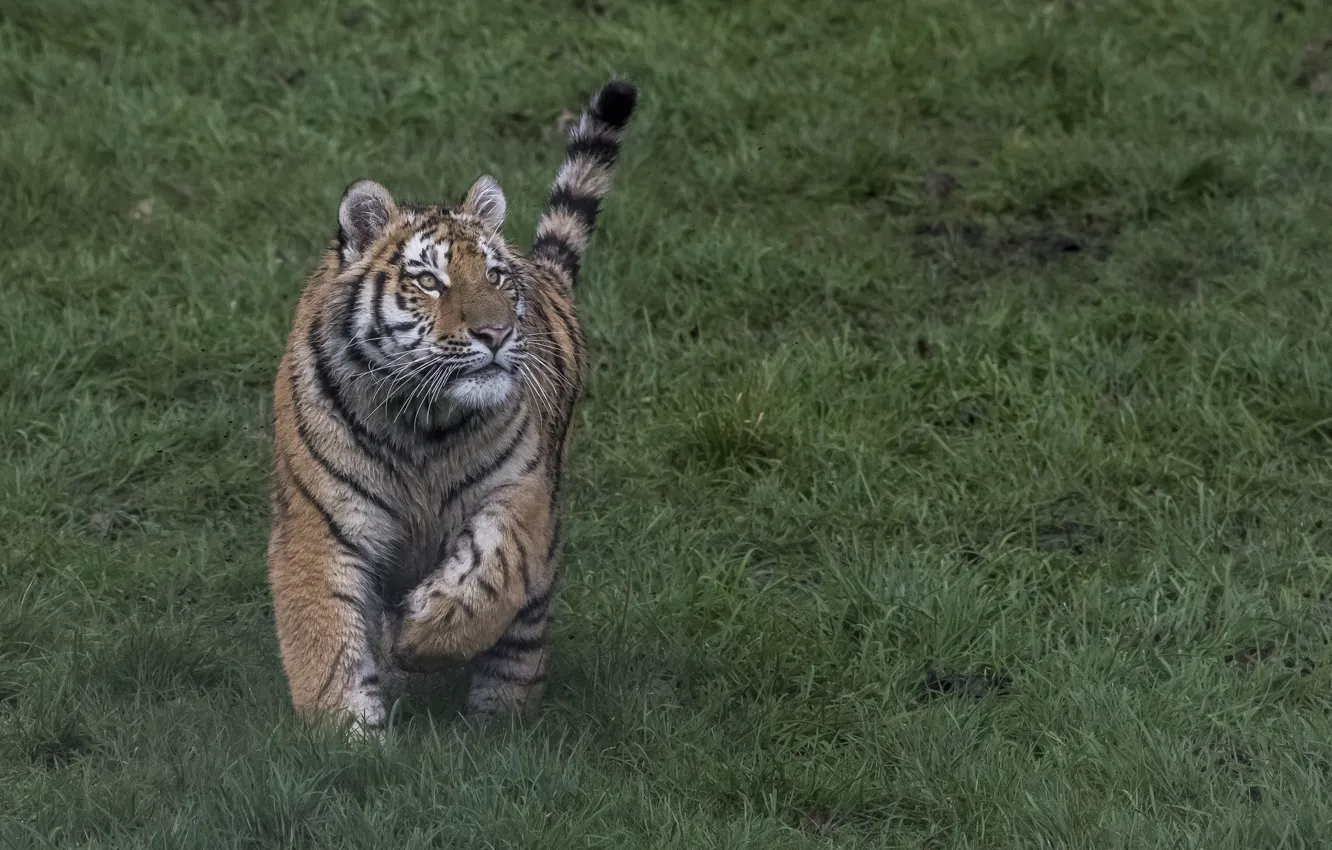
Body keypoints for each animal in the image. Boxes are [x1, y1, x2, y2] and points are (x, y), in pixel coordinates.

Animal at [265, 79, 638, 732]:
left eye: (495, 276)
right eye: (429, 281)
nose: (496, 334)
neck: (421, 421)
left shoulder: (520, 492)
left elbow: (489, 575)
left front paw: (421, 637)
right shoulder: (318, 525)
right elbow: (327, 639)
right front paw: (345, 736)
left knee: (521, 642)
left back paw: (499, 722)